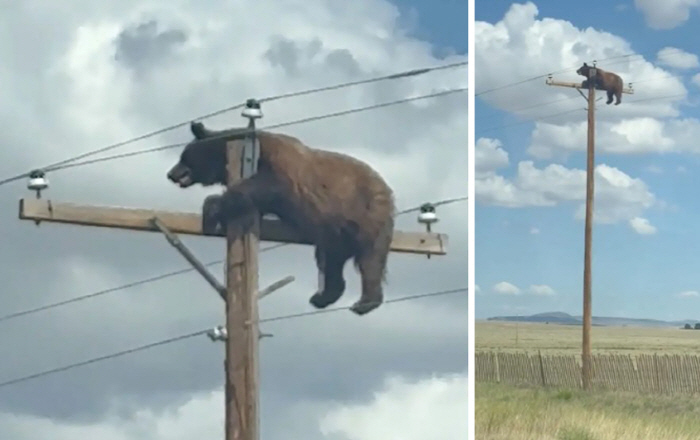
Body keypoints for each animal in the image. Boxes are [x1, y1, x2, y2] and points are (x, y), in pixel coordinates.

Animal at [166, 121, 396, 316]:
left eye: (183, 156)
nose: (171, 174)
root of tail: (387, 189)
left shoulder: (280, 166)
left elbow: (267, 185)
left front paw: (211, 208)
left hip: (367, 213)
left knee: (370, 258)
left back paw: (364, 302)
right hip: (335, 232)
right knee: (331, 261)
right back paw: (322, 297)